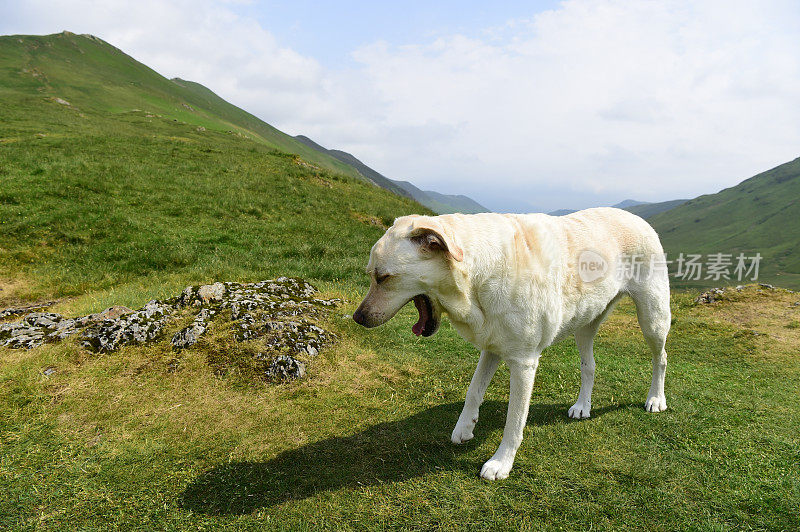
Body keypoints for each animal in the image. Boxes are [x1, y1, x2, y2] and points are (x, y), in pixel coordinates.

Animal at [354, 206, 672, 480]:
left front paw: (501, 463)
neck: (479, 275)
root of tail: (635, 216)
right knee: (589, 365)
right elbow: (473, 390)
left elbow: (514, 420)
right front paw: (464, 427)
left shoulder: (523, 363)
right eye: (371, 275)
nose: (358, 317)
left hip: (653, 318)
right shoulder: (491, 346)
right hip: (585, 322)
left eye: (383, 277)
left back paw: (656, 399)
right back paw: (583, 406)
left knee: (661, 358)